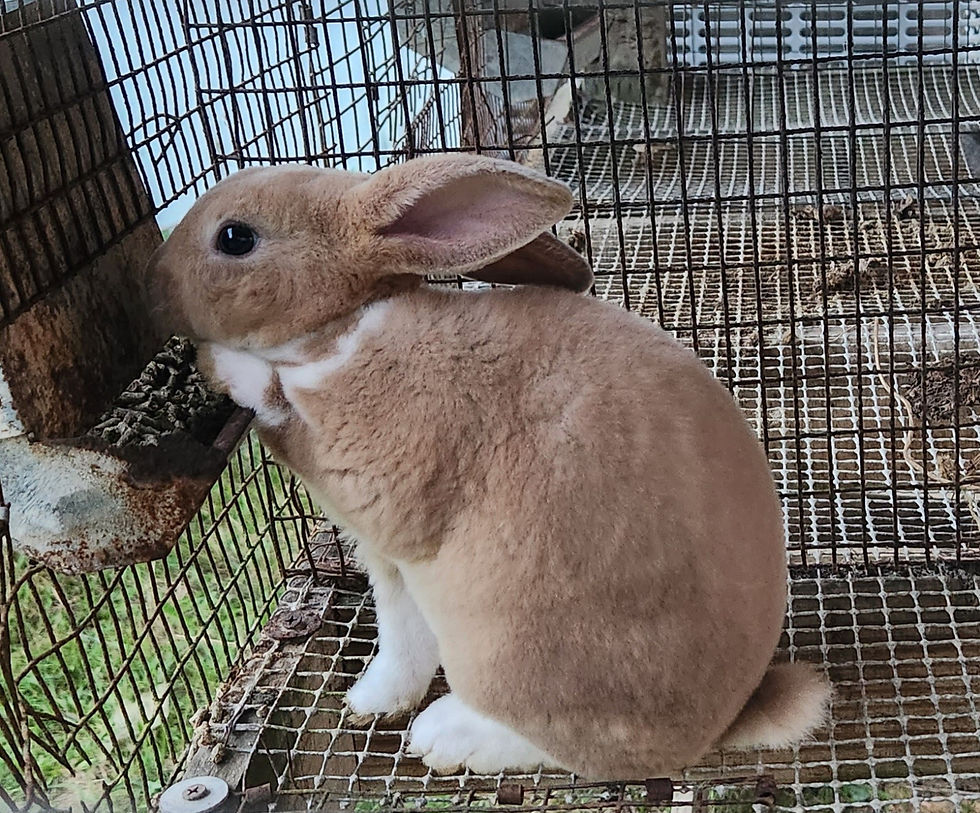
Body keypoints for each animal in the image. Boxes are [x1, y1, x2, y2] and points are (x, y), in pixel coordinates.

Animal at [144, 154, 831, 779]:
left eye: (235, 237)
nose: (157, 283)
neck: (340, 328)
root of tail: (720, 726)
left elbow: (273, 392)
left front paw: (219, 361)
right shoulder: (390, 566)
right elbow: (402, 639)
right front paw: (370, 702)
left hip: (503, 654)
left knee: (578, 753)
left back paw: (446, 738)